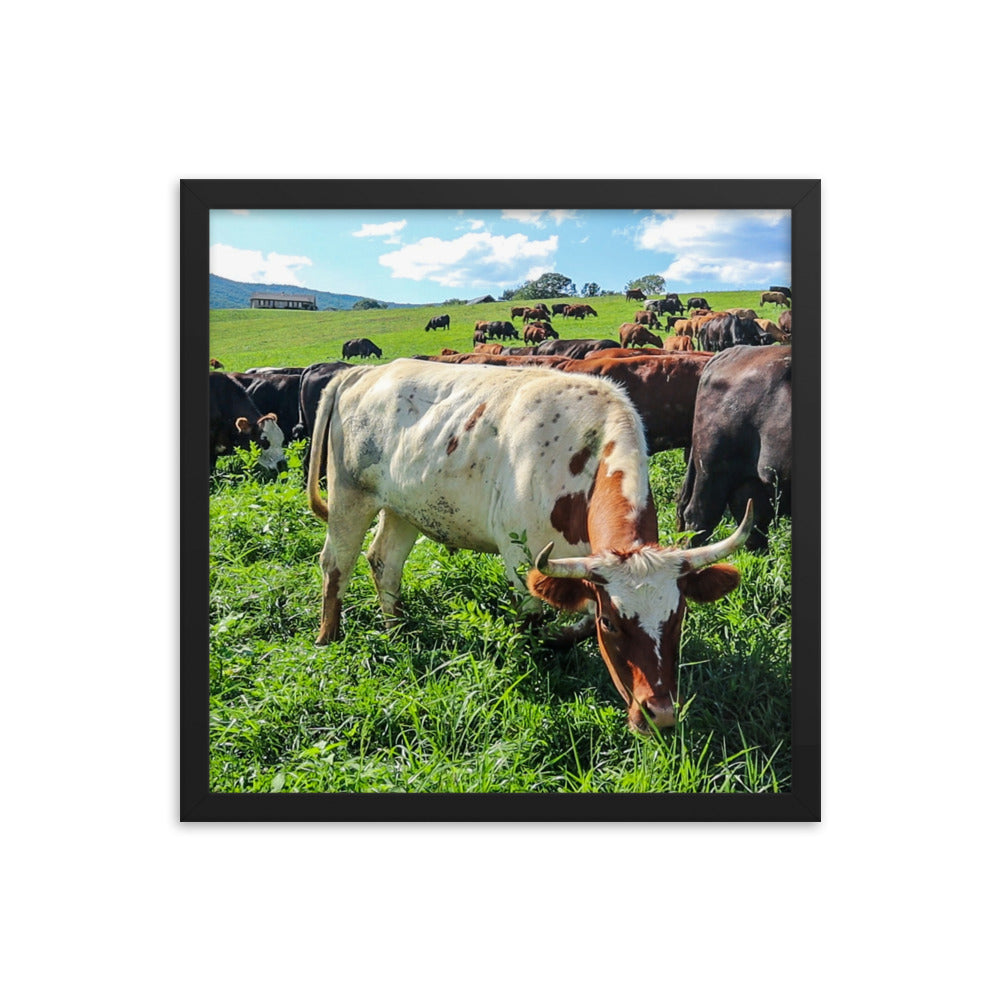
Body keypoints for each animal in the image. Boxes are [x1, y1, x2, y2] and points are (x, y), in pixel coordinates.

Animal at [307, 359, 752, 732]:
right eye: (613, 623)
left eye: (678, 617)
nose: (659, 715)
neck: (583, 456)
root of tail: (364, 372)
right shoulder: (522, 559)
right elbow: (533, 621)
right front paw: (535, 659)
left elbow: (579, 621)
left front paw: (560, 639)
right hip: (349, 497)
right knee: (336, 565)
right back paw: (328, 638)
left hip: (403, 509)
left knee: (385, 563)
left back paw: (397, 629)